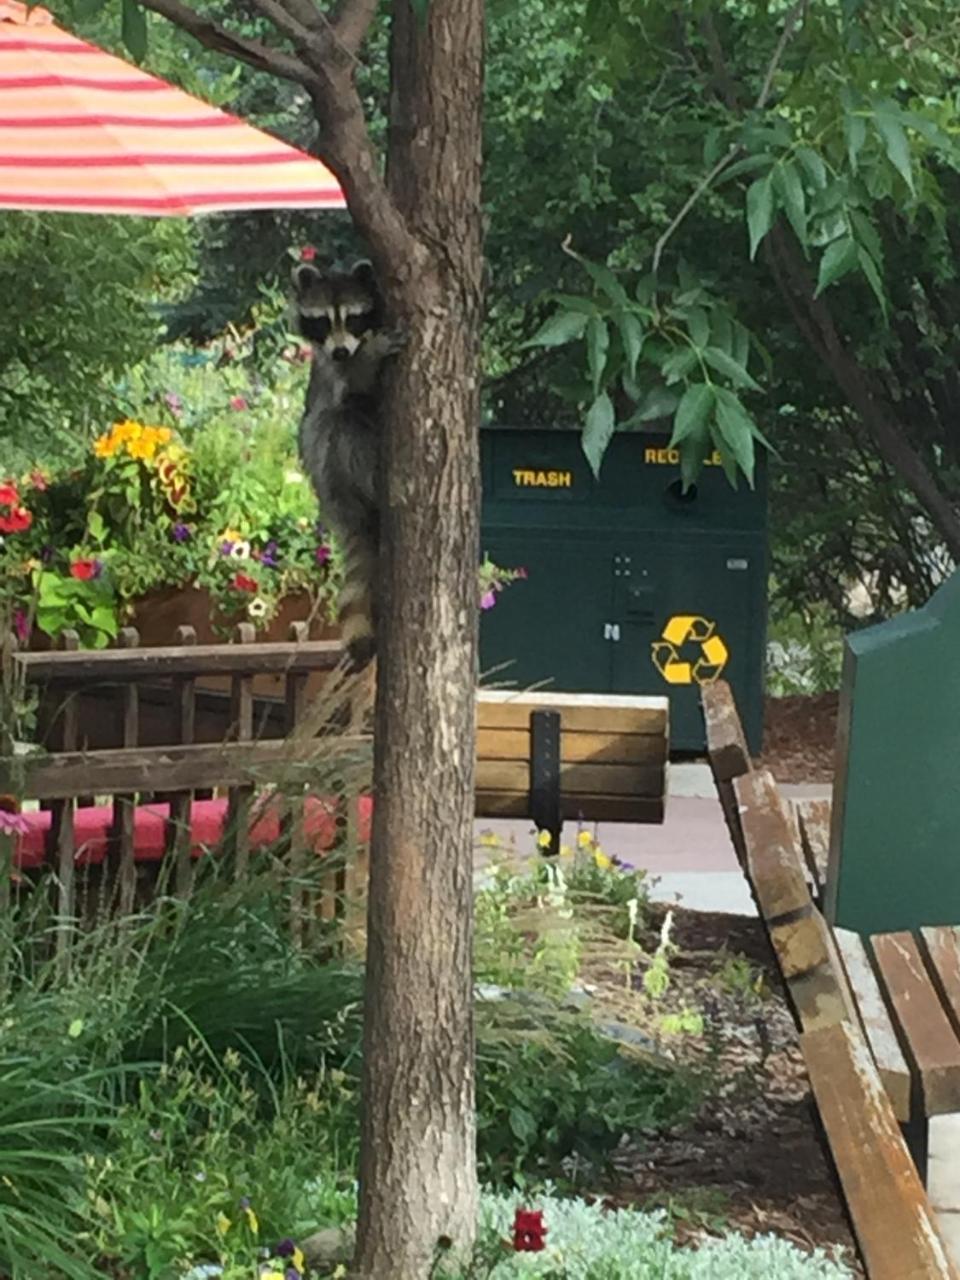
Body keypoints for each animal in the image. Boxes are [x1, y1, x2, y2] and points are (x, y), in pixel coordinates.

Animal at [289, 262, 401, 680]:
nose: (340, 349)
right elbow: (350, 386)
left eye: (352, 317)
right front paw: (368, 358)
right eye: (323, 321)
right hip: (331, 470)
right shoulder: (329, 371)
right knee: (338, 422)